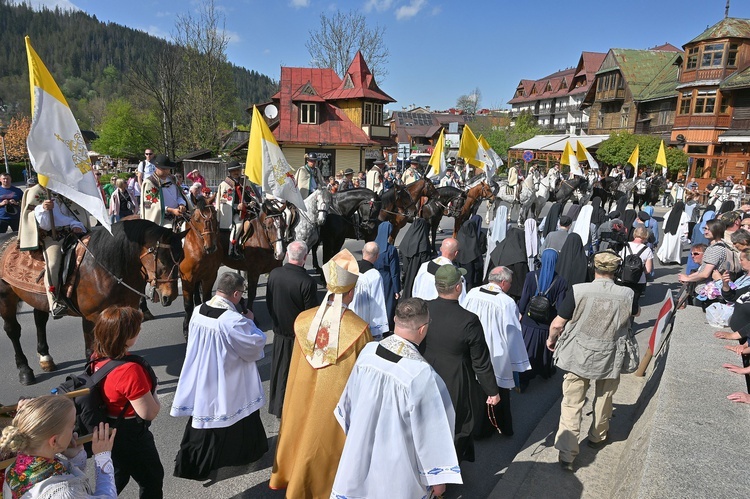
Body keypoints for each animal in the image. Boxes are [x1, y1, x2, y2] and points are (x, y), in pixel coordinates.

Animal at [0, 221, 187, 384]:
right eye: (162, 259)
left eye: (181, 257)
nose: (169, 296)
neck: (104, 268)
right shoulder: (91, 317)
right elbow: (91, 350)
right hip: (6, 298)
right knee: (12, 330)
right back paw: (25, 370)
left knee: (39, 321)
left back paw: (45, 358)